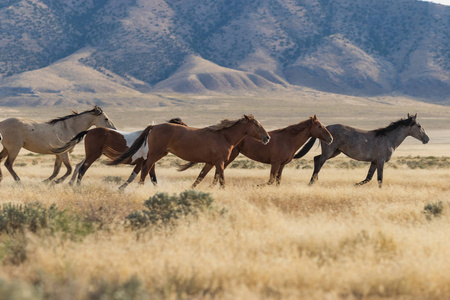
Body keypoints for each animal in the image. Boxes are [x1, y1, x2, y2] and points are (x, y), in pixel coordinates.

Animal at [50, 117, 186, 188]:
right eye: (182, 127)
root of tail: (89, 131)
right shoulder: (142, 162)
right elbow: (134, 176)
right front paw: (122, 189)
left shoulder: (149, 162)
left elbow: (153, 178)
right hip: (93, 155)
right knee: (83, 169)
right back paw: (77, 187)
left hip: (90, 155)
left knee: (78, 166)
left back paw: (70, 184)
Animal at [110, 115, 268, 188]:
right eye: (256, 125)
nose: (267, 138)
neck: (224, 136)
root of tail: (153, 127)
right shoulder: (220, 162)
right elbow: (221, 179)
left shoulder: (211, 163)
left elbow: (201, 177)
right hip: (156, 153)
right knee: (145, 169)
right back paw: (140, 186)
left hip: (160, 153)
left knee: (148, 169)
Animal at [180, 114, 334, 185]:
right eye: (319, 126)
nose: (331, 138)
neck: (288, 139)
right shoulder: (275, 163)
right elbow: (271, 180)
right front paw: (257, 186)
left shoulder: (282, 165)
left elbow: (277, 181)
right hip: (228, 158)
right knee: (215, 173)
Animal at [296, 113, 428, 186]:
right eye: (419, 126)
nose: (427, 139)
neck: (388, 139)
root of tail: (325, 129)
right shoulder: (381, 161)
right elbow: (380, 179)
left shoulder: (374, 162)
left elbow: (368, 178)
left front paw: (354, 185)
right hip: (329, 152)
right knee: (319, 162)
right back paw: (311, 182)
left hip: (335, 152)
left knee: (316, 159)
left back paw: (314, 180)